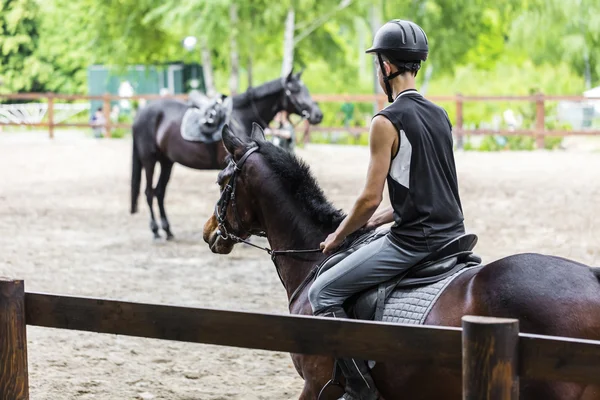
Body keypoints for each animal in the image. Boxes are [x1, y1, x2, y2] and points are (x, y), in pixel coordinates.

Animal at [129, 70, 322, 239]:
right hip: (149, 160)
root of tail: (140, 113)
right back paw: (155, 230)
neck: (241, 116)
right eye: (294, 90)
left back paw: (167, 230)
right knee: (149, 192)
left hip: (166, 162)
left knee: (160, 192)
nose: (318, 115)